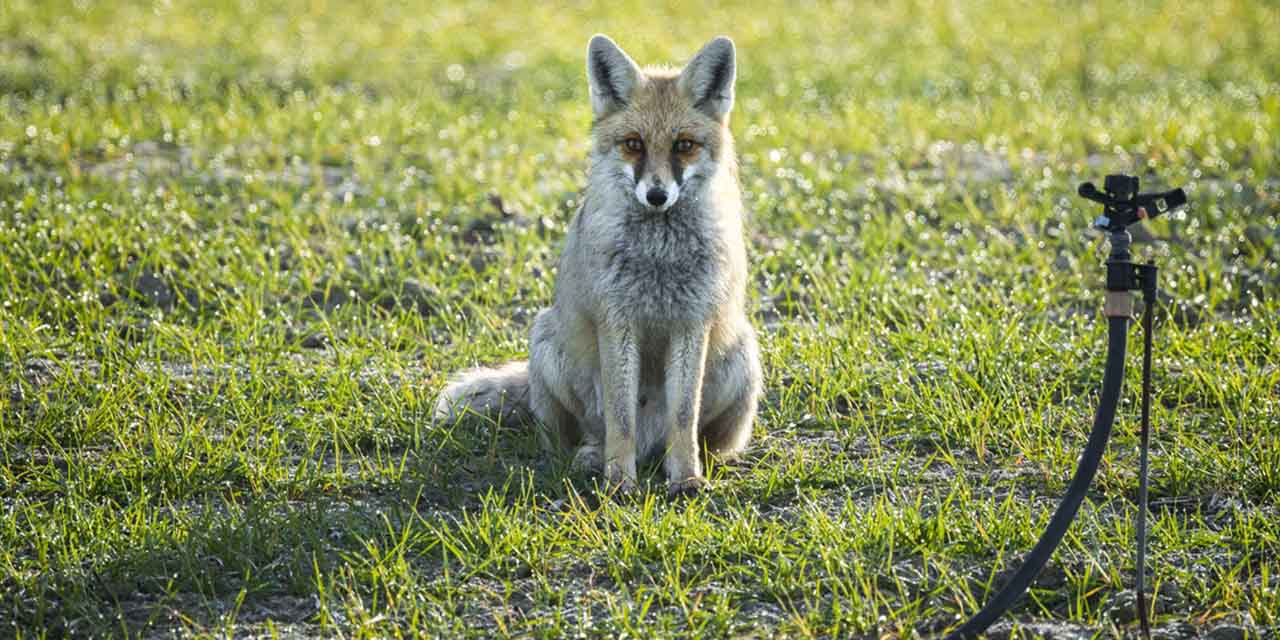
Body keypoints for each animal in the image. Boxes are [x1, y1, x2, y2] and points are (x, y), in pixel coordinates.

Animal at [435, 33, 762, 494]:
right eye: (633, 144)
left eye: (683, 145)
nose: (656, 196)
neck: (658, 258)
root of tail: (650, 445)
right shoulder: (616, 320)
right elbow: (620, 417)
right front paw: (619, 483)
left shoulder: (692, 321)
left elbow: (684, 417)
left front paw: (685, 478)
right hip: (547, 345)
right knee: (588, 433)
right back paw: (592, 457)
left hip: (743, 356)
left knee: (704, 440)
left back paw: (702, 462)